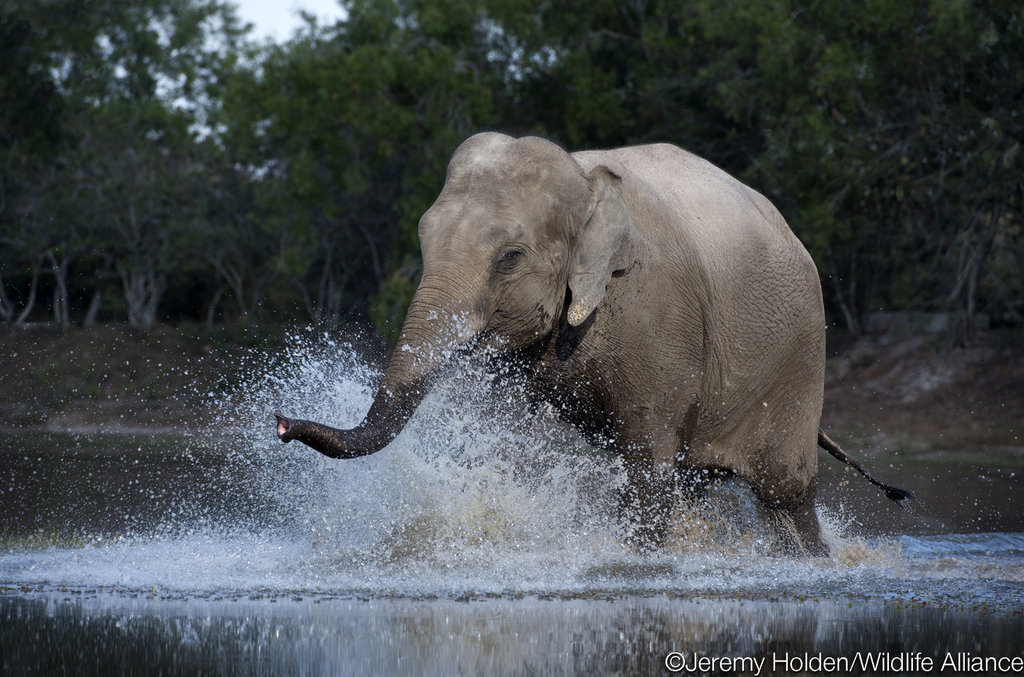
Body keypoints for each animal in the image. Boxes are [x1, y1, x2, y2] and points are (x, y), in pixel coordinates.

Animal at [274, 132, 910, 555]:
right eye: (423, 240)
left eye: (510, 257)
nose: (280, 423)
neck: (586, 183)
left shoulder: (662, 318)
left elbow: (646, 462)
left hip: (799, 357)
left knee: (785, 494)